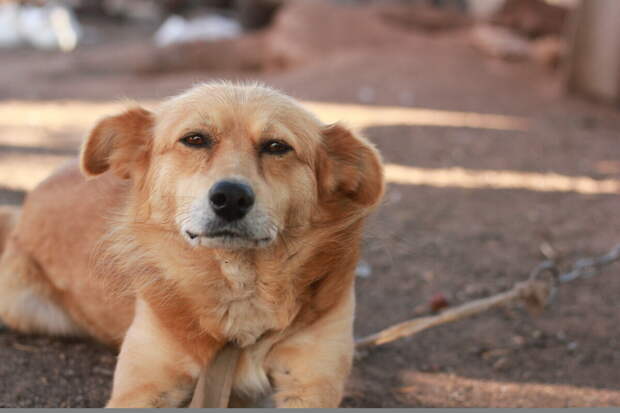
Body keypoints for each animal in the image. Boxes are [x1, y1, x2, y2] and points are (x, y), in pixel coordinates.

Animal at [0, 82, 382, 408]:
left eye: (276, 146)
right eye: (195, 139)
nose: (231, 197)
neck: (239, 287)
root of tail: (27, 204)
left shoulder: (310, 383)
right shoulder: (143, 386)